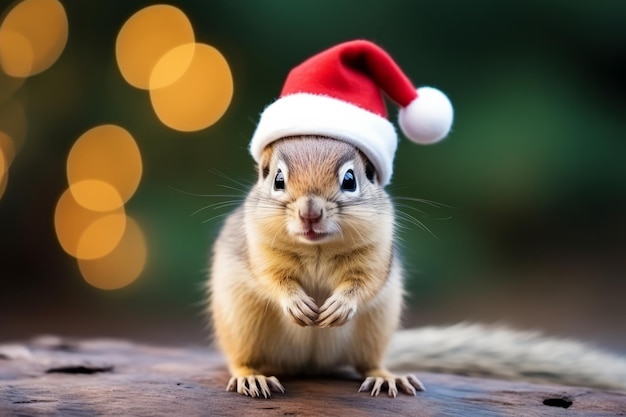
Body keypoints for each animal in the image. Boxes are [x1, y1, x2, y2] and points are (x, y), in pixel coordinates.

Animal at [207, 136, 624, 396]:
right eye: (277, 179)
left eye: (350, 179)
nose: (310, 212)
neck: (317, 248)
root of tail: (310, 366)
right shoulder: (259, 251)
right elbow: (274, 279)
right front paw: (296, 302)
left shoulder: (376, 256)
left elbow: (363, 283)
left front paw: (340, 305)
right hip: (243, 325)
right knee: (239, 361)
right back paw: (252, 378)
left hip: (374, 330)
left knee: (368, 364)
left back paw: (386, 377)